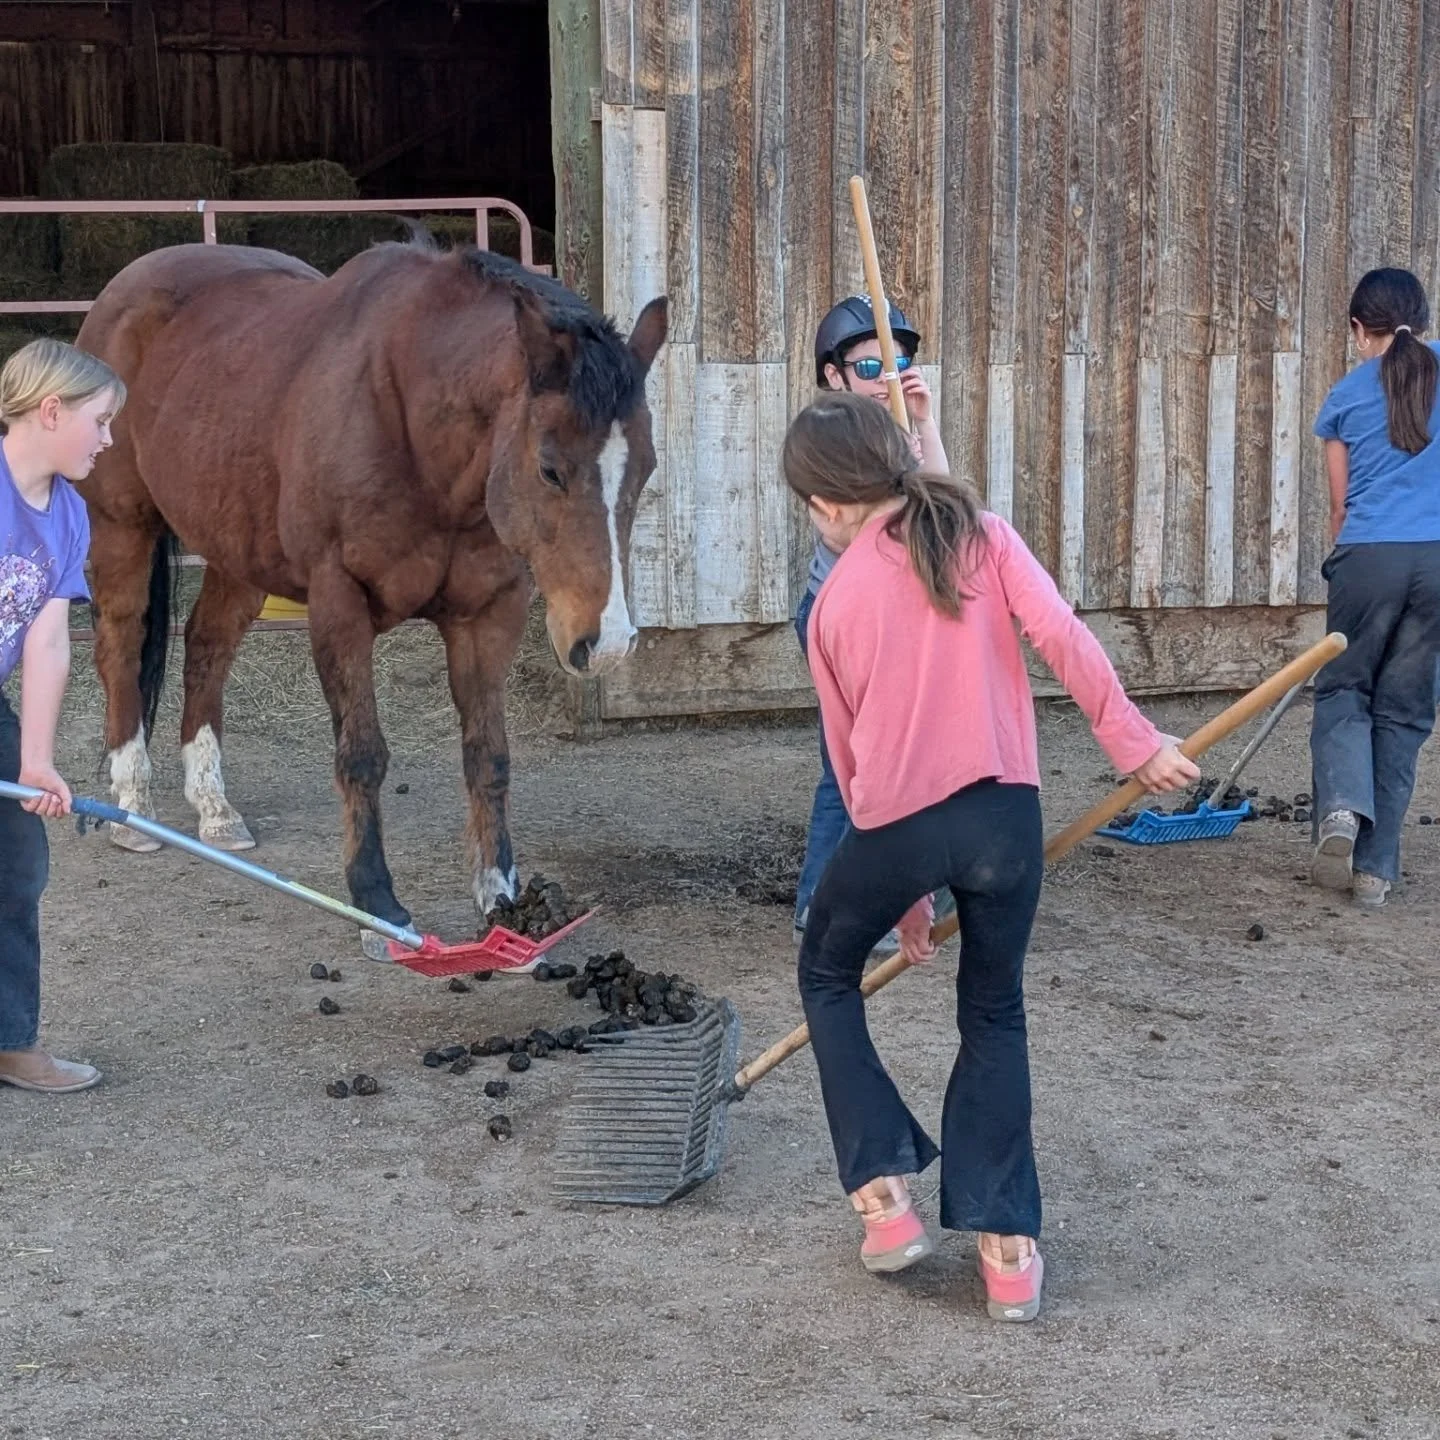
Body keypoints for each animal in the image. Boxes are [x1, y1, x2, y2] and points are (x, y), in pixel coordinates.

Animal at [74, 238, 667, 936]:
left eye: (647, 467)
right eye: (550, 468)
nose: (607, 642)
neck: (413, 425)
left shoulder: (488, 614)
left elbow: (488, 755)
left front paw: (500, 895)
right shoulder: (340, 603)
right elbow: (362, 754)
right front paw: (374, 897)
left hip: (235, 549)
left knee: (206, 647)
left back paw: (214, 808)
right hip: (122, 526)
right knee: (120, 645)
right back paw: (132, 801)